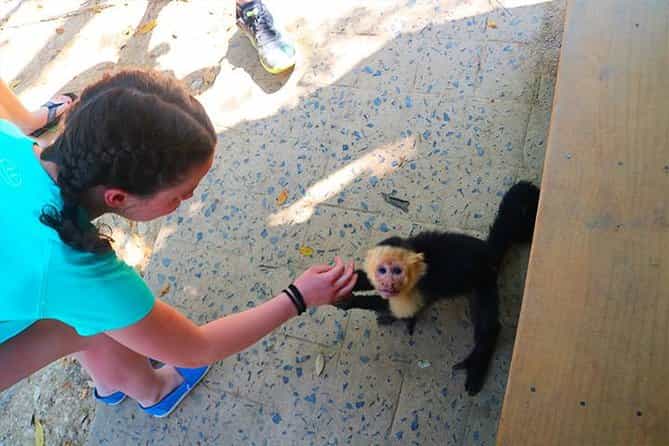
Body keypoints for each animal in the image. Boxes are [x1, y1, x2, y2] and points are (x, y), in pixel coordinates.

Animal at [334, 181, 540, 395]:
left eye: (397, 270)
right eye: (381, 270)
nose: (386, 283)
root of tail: (488, 251)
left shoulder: (418, 284)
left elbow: (398, 304)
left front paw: (351, 301)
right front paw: (343, 280)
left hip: (484, 281)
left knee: (487, 326)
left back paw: (478, 361)